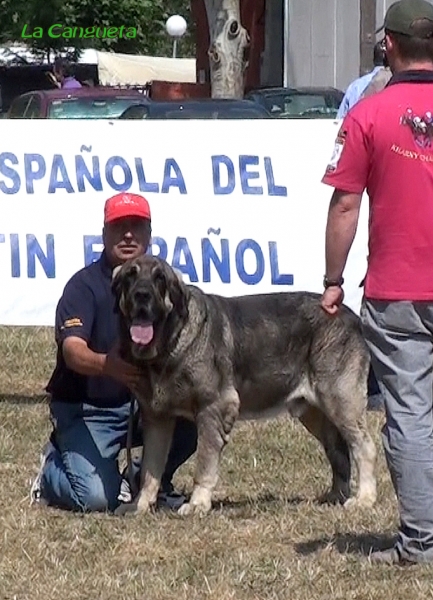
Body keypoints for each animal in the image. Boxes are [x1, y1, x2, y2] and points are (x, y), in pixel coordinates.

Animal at [113, 254, 376, 516]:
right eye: (130, 275)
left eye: (159, 278)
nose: (142, 295)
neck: (171, 339)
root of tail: (351, 317)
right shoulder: (157, 418)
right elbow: (150, 469)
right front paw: (140, 505)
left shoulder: (213, 407)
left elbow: (204, 464)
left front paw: (198, 504)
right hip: (315, 413)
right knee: (338, 451)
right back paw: (335, 496)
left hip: (340, 400)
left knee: (363, 447)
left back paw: (364, 499)